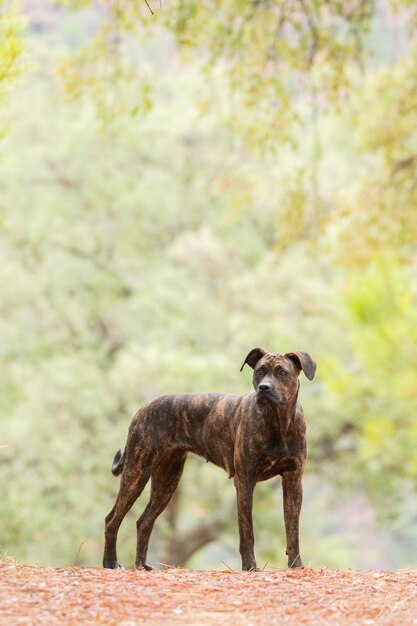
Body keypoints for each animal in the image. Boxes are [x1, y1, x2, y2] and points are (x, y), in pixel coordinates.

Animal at [103, 346, 316, 572]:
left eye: (282, 372)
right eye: (260, 371)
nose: (264, 388)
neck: (278, 422)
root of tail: (143, 407)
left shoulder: (293, 482)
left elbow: (292, 530)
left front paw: (296, 565)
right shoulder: (245, 481)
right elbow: (247, 532)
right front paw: (250, 566)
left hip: (167, 480)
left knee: (144, 522)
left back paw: (141, 565)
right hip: (137, 471)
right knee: (112, 520)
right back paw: (110, 562)